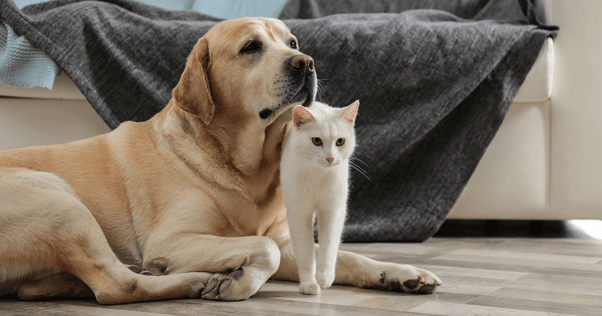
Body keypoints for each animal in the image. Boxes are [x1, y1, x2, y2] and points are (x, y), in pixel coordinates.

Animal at [280, 100, 358, 296]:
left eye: (340, 141)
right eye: (316, 141)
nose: (330, 158)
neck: (318, 174)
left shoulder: (333, 210)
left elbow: (329, 245)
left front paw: (324, 276)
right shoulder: (299, 213)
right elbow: (305, 251)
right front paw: (309, 283)